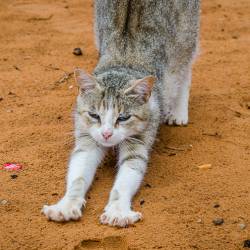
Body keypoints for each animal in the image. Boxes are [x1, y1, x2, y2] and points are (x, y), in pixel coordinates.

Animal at [42, 0, 200, 227]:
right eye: (94, 115)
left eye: (124, 117)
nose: (107, 134)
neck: (123, 66)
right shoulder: (87, 141)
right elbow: (78, 177)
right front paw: (66, 205)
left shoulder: (138, 145)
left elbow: (123, 183)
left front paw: (118, 211)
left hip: (184, 38)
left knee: (184, 70)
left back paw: (178, 111)